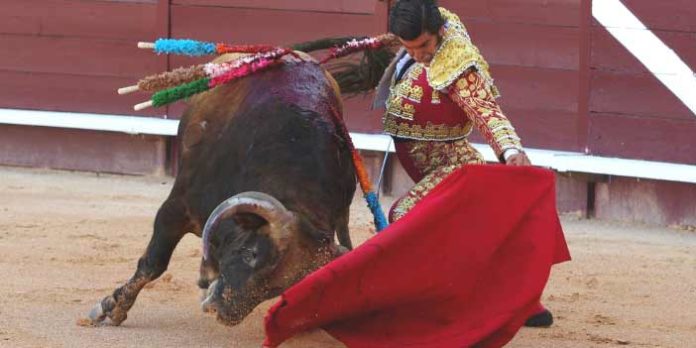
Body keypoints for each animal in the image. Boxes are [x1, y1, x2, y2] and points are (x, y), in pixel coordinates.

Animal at [86, 52, 358, 326]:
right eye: (249, 253)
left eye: (280, 287)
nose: (222, 311)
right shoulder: (175, 209)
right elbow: (154, 262)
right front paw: (111, 308)